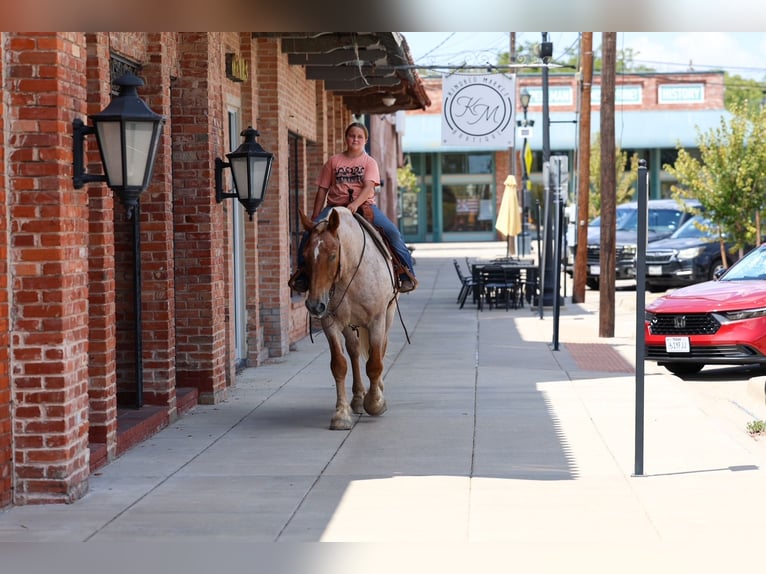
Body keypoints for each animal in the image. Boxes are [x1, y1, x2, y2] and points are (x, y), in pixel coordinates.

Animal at [299, 206, 398, 430]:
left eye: (332, 255)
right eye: (305, 256)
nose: (314, 305)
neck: (350, 274)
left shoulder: (377, 319)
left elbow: (374, 363)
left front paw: (375, 402)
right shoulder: (330, 322)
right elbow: (339, 365)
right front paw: (341, 414)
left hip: (388, 314)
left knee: (381, 348)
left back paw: (376, 391)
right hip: (347, 323)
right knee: (353, 349)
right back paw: (359, 397)